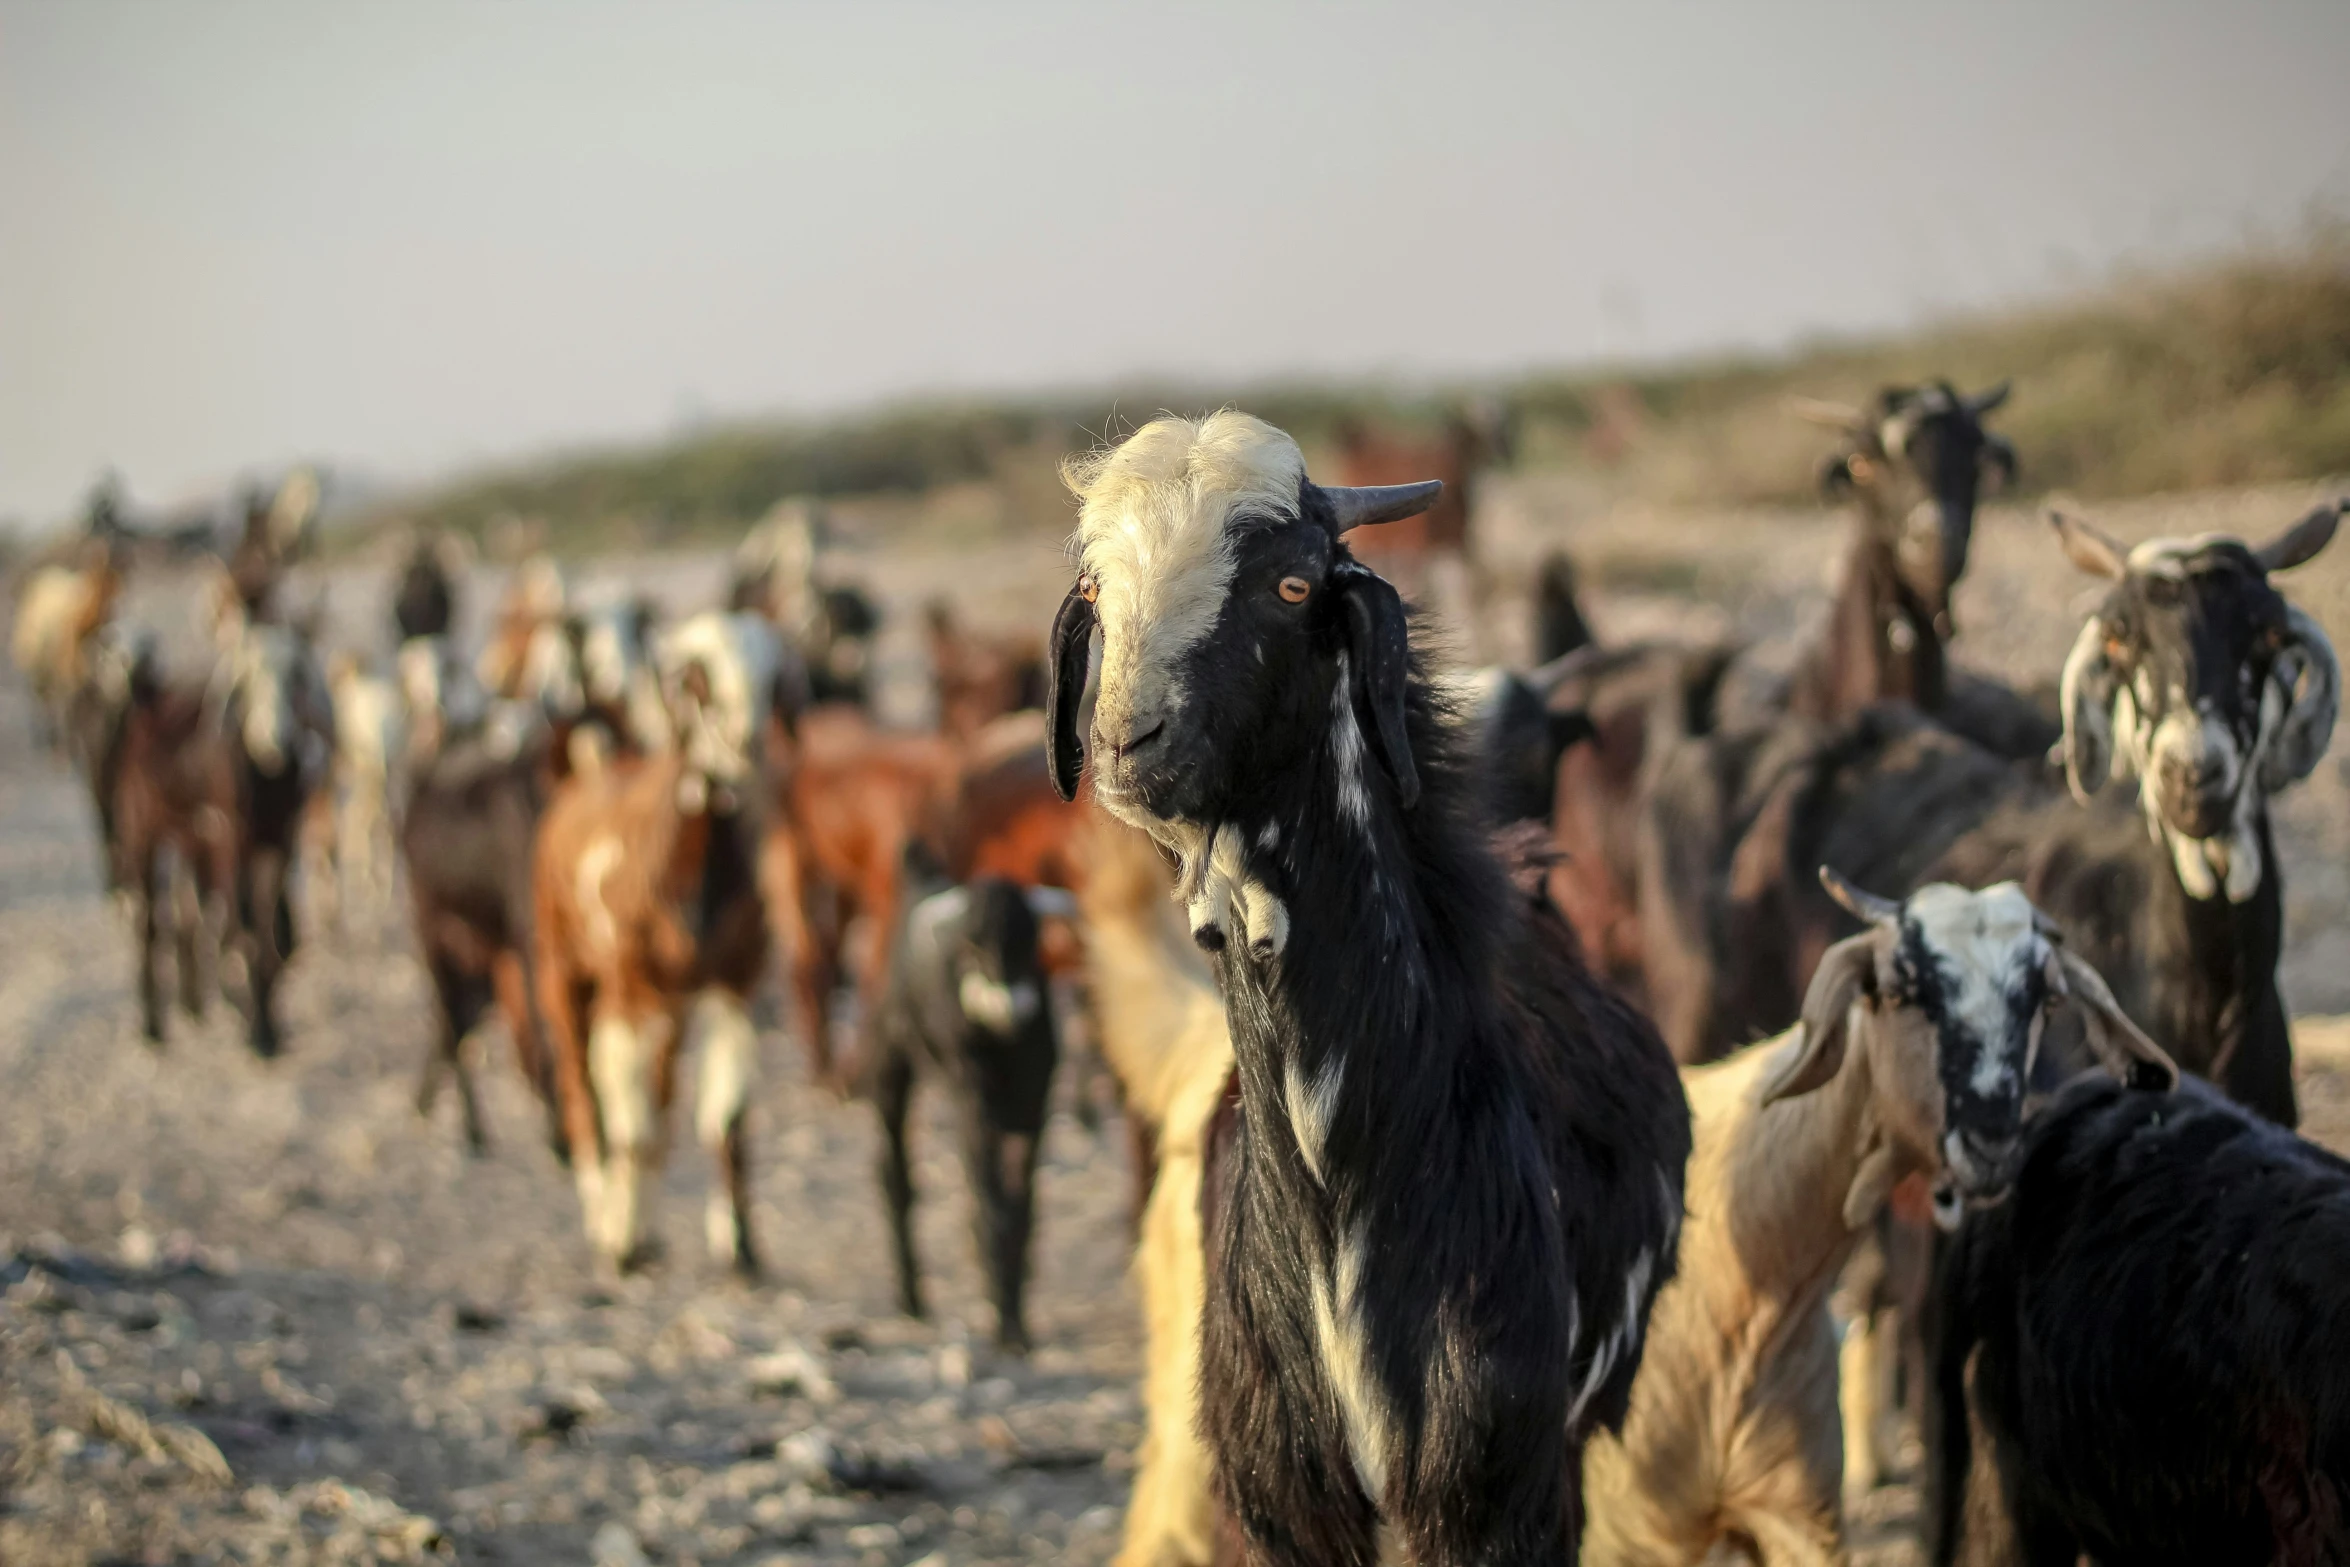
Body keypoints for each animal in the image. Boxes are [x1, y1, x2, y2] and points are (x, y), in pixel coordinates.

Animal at [869, 850, 1062, 1353]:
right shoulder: (973, 1106)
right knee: (895, 1175)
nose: (1009, 1009)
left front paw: (1016, 1321)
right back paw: (911, 1299)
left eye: (1031, 943)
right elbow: (991, 1206)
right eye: (974, 947)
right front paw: (1002, 1324)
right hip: (889, 1066)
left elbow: (1022, 1210)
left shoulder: (1033, 1109)